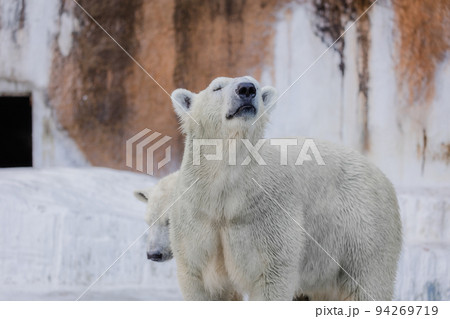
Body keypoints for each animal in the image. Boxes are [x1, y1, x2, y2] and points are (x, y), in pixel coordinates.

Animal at [171, 76, 402, 302]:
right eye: (217, 87)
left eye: (255, 85)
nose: (246, 89)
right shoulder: (197, 221)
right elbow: (202, 283)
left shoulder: (267, 218)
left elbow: (271, 277)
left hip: (361, 227)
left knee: (367, 283)